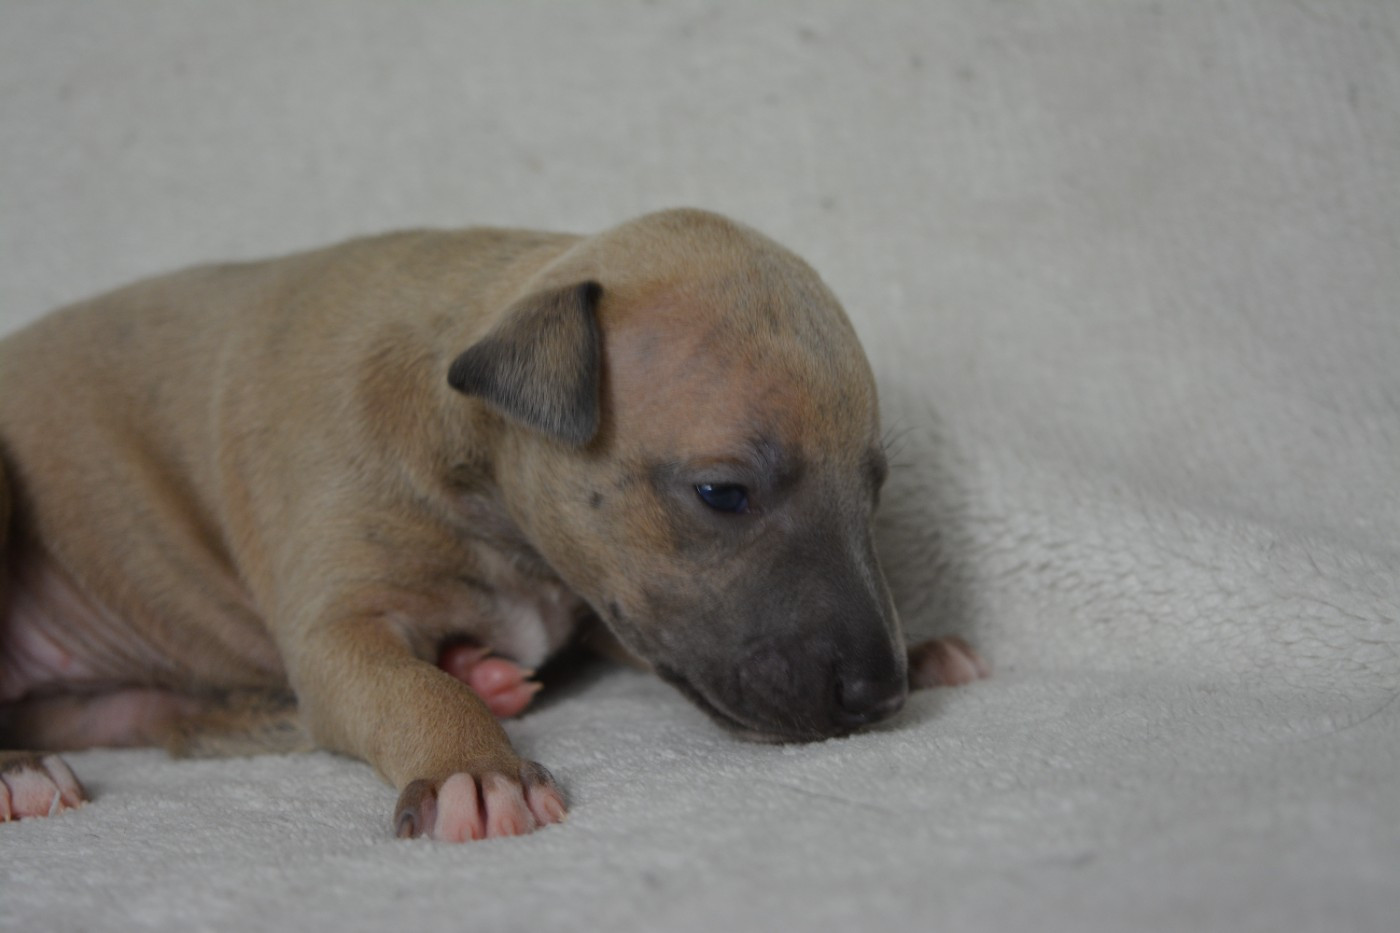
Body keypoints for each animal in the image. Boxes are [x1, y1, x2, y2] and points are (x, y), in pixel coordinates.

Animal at [0, 209, 987, 839]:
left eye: (876, 487)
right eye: (722, 493)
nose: (882, 694)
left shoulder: (600, 593)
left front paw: (928, 645)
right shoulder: (339, 627)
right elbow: (405, 689)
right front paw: (472, 771)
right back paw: (19, 773)